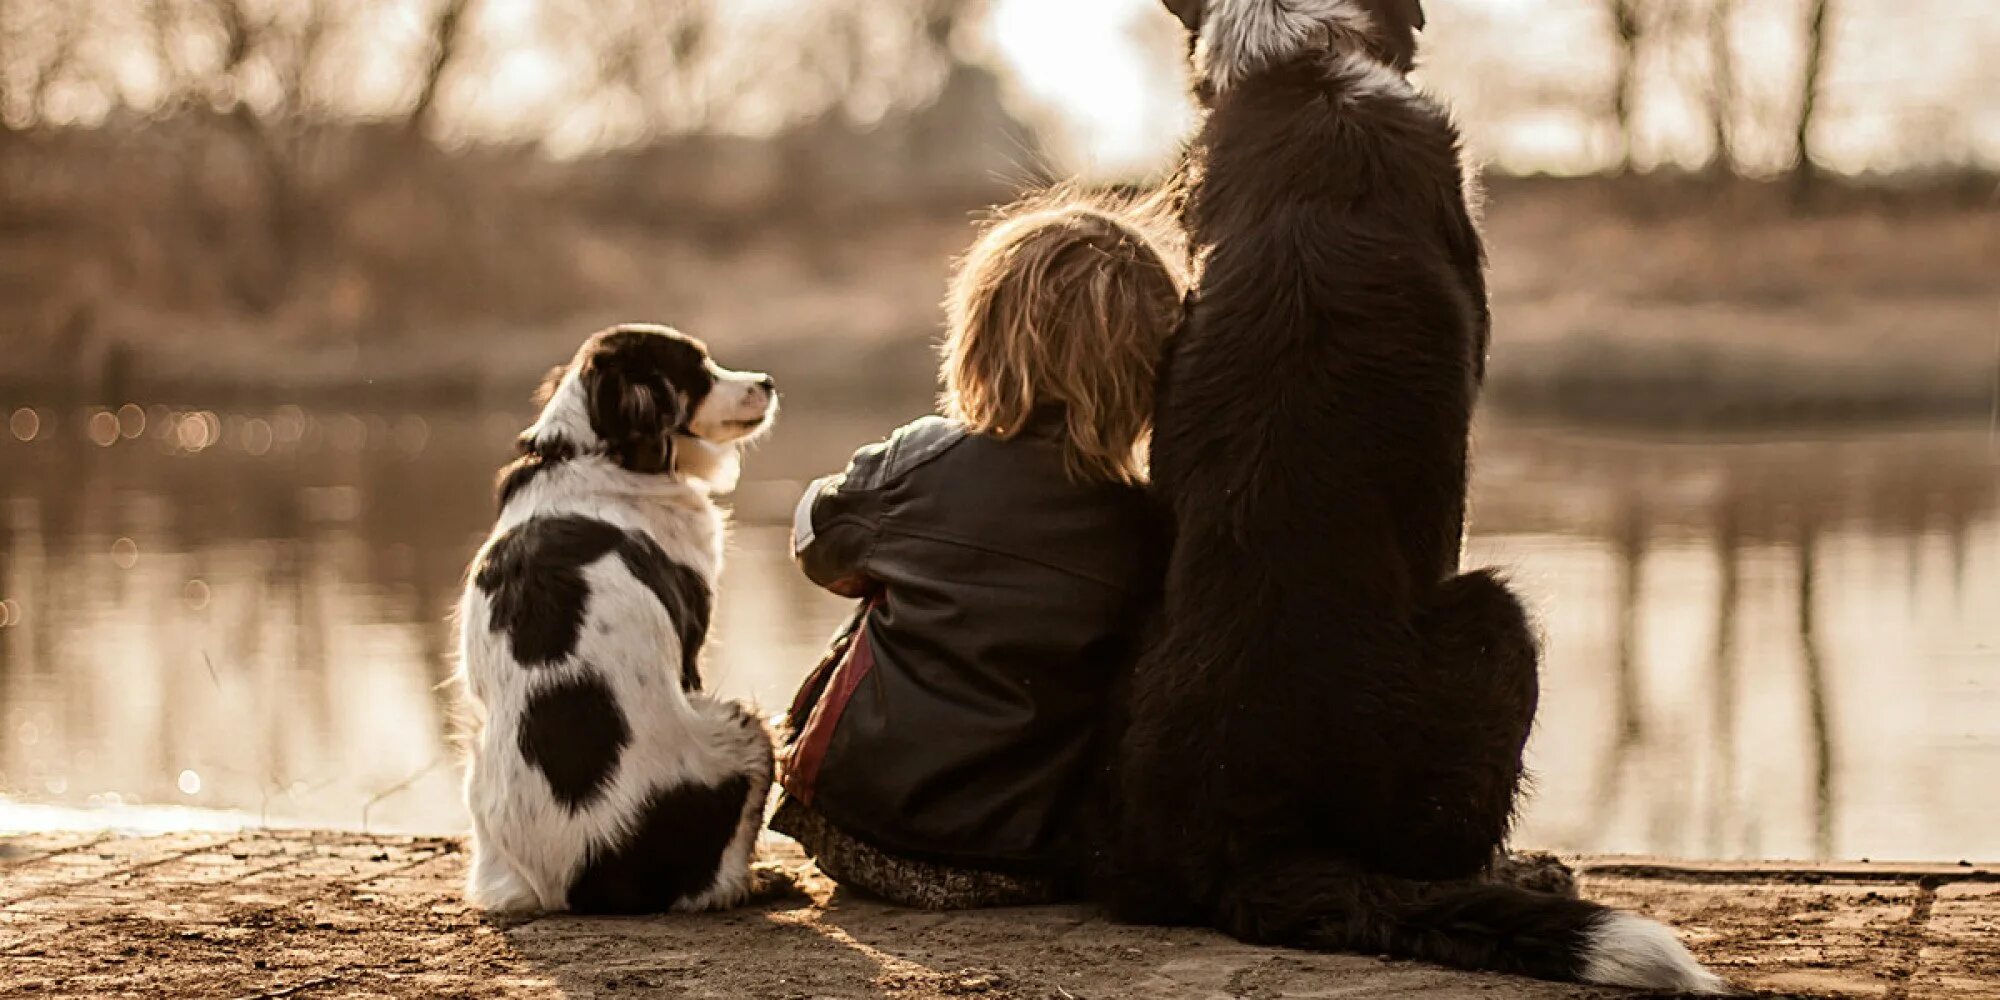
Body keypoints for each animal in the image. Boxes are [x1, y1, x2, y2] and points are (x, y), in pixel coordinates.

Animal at [462, 326, 780, 916]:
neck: (590, 453)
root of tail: (588, 882)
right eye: (699, 371)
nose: (767, 381)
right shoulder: (692, 647)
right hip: (742, 728)